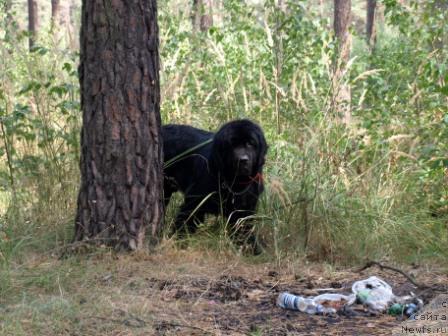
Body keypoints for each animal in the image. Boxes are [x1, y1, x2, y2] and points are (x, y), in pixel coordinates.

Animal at [163, 119, 268, 248]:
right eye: (232, 144)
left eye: (250, 143)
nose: (242, 160)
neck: (233, 183)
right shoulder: (194, 203)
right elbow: (184, 224)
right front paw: (177, 243)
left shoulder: (243, 211)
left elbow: (244, 233)